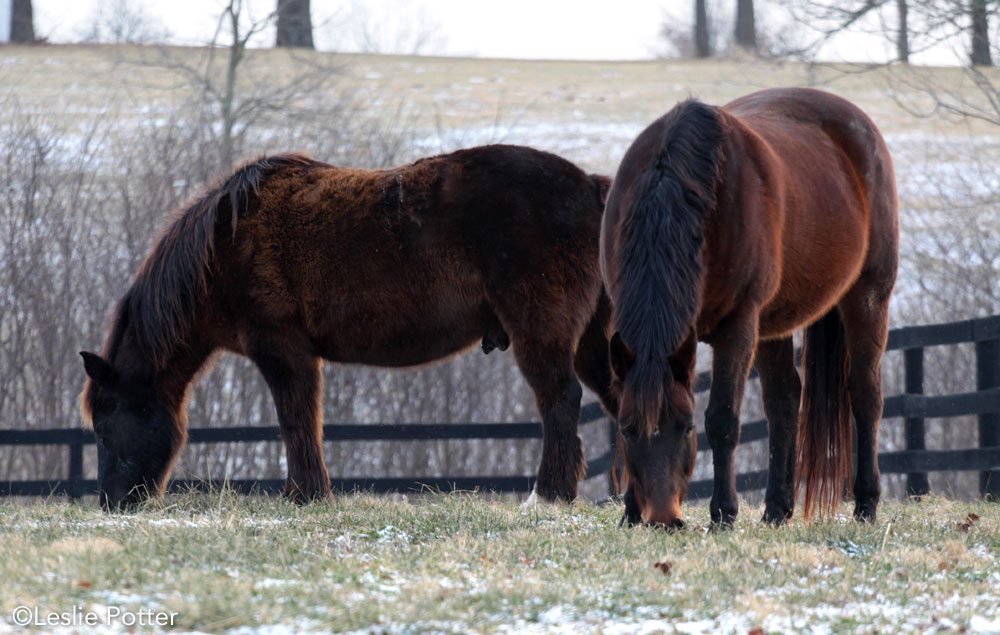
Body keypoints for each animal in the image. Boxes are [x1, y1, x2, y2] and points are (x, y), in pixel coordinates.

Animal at [82, 145, 616, 512]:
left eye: (106, 425)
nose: (112, 502)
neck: (225, 245)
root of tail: (590, 185)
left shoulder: (283, 351)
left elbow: (296, 419)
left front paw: (305, 494)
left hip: (540, 332)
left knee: (559, 400)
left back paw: (549, 494)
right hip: (591, 343)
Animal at [600, 87, 900, 528]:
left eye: (685, 428)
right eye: (626, 429)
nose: (664, 519)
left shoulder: (737, 326)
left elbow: (722, 419)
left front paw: (723, 513)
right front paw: (630, 513)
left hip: (868, 298)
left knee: (865, 395)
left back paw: (866, 504)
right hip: (774, 323)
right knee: (785, 401)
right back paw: (776, 509)